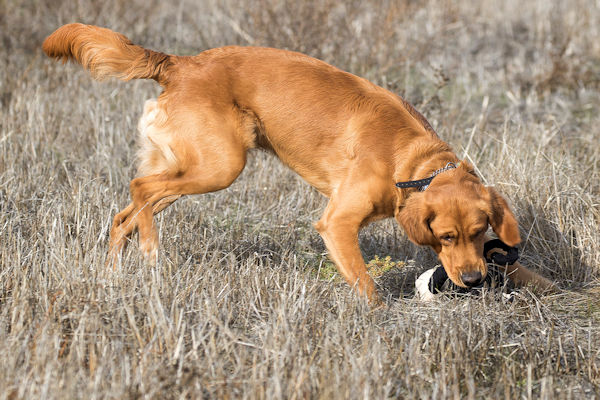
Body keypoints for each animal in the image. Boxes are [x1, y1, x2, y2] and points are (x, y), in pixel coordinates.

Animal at [43, 23, 556, 302]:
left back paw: (116, 274)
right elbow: (366, 286)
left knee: (126, 212)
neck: (411, 163)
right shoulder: (338, 222)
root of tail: (180, 63)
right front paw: (381, 322)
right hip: (219, 166)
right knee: (139, 191)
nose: (471, 280)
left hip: (189, 168)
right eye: (445, 236)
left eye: (480, 231)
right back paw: (150, 252)